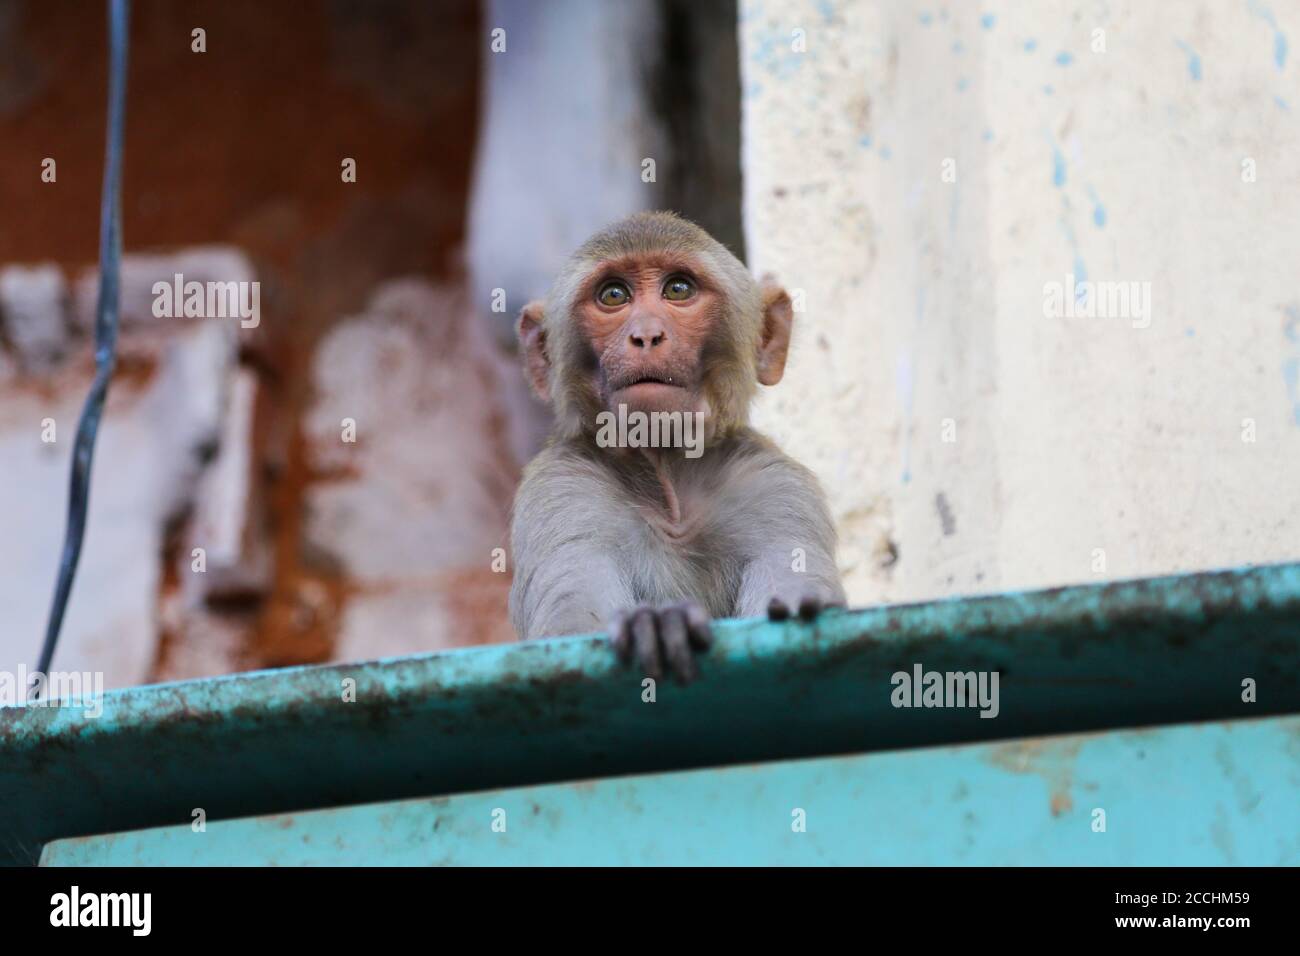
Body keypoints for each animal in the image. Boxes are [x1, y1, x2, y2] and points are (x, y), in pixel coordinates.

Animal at [509, 211, 845, 683]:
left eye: (678, 289)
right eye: (613, 295)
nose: (647, 335)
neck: (670, 486)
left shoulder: (775, 488)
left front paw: (803, 607)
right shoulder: (562, 489)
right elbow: (564, 635)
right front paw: (657, 623)